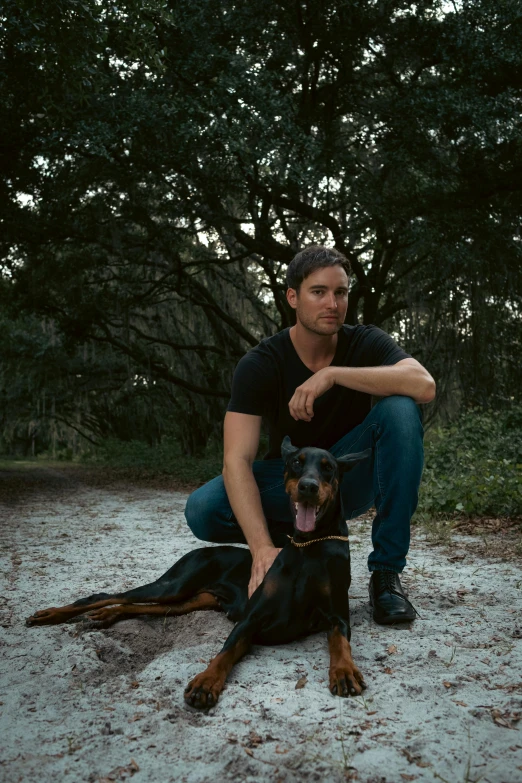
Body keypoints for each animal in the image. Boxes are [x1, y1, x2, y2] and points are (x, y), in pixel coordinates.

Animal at [26, 438, 370, 708]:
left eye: (328, 468)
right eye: (296, 463)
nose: (308, 487)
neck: (309, 546)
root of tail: (198, 551)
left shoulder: (336, 616)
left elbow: (340, 641)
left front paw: (344, 671)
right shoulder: (250, 619)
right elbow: (223, 653)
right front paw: (206, 682)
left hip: (190, 600)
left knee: (134, 605)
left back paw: (107, 617)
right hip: (174, 584)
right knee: (105, 595)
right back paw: (52, 615)